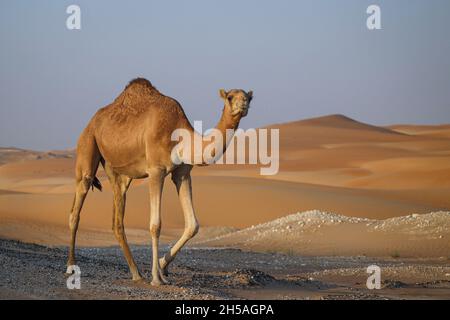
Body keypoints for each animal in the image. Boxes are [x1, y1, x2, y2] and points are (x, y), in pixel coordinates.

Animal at [67, 78, 253, 284]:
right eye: (230, 97)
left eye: (249, 97)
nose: (243, 103)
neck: (180, 137)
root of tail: (92, 121)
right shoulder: (156, 170)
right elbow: (155, 225)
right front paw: (156, 277)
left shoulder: (182, 173)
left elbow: (193, 225)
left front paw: (163, 265)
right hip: (87, 145)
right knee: (77, 207)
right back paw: (71, 267)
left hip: (118, 173)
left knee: (117, 220)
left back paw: (136, 273)